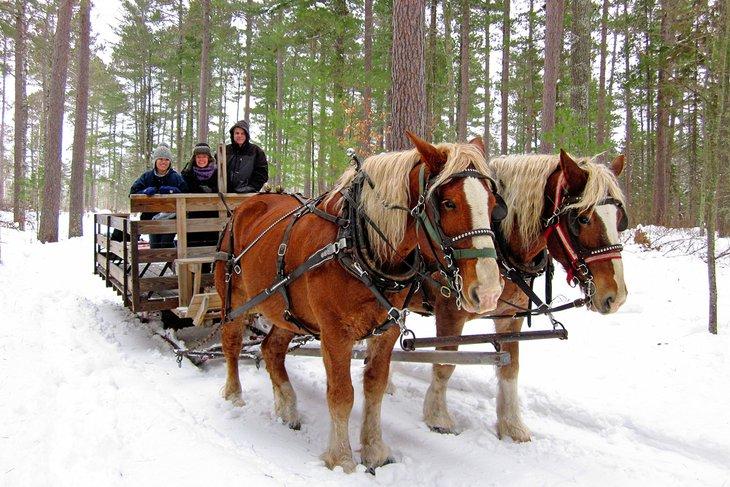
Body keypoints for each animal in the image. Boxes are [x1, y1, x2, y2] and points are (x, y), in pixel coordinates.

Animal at [214, 132, 505, 472]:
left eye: (494, 205)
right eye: (448, 203)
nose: (488, 290)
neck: (358, 243)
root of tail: (244, 206)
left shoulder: (386, 329)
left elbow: (374, 388)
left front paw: (375, 451)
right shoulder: (335, 333)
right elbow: (342, 394)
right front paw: (341, 458)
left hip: (288, 312)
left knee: (271, 350)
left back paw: (287, 408)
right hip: (234, 298)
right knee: (232, 342)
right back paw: (234, 394)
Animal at [418, 149, 628, 440]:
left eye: (619, 219)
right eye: (582, 219)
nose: (616, 296)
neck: (500, 245)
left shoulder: (511, 317)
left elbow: (511, 368)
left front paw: (512, 425)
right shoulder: (449, 314)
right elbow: (444, 364)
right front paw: (437, 417)